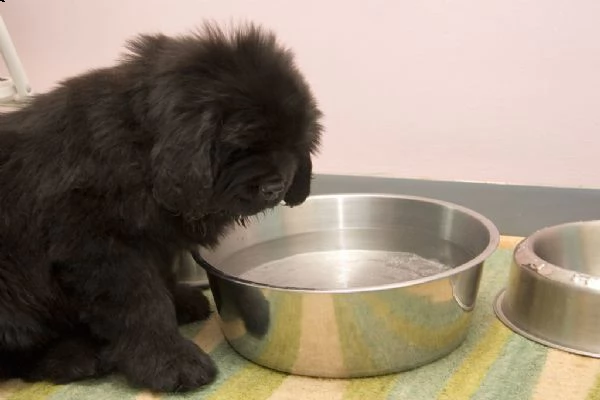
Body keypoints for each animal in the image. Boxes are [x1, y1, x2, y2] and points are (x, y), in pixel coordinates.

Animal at [0, 23, 322, 392]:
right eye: (242, 146)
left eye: (295, 144)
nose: (275, 188)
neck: (144, 147)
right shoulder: (100, 249)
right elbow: (142, 305)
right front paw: (172, 363)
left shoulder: (155, 240)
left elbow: (163, 279)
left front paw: (180, 302)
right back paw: (71, 357)